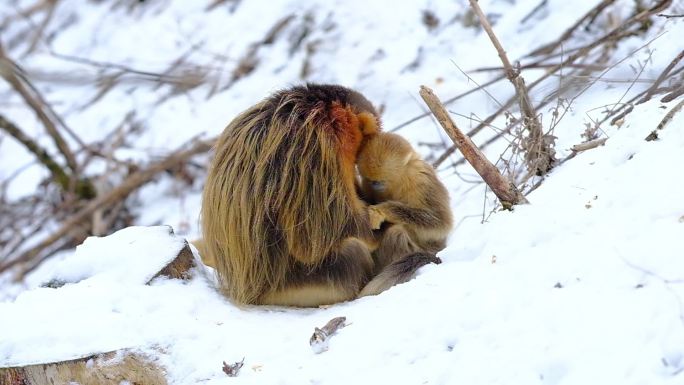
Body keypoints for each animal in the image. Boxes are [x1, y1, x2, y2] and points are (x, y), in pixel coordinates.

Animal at [356, 131, 452, 276]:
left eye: (381, 180)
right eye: (371, 180)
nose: (375, 185)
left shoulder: (421, 178)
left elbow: (441, 224)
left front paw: (382, 211)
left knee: (397, 233)